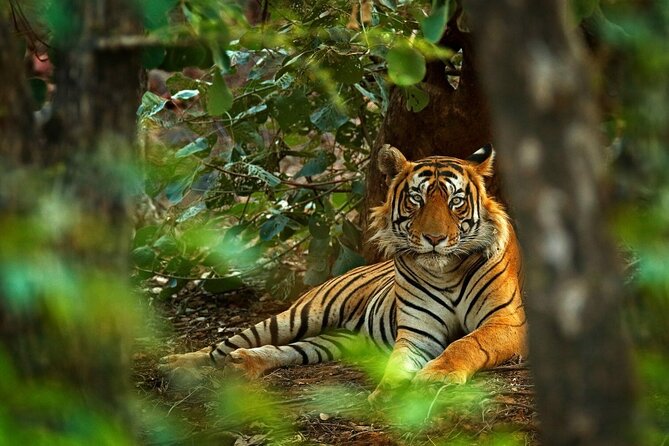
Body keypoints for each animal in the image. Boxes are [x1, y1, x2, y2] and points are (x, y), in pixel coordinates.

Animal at [160, 144, 527, 401]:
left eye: (456, 202)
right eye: (416, 200)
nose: (434, 239)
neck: (445, 272)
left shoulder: (507, 321)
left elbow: (467, 343)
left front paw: (437, 376)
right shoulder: (417, 332)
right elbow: (398, 363)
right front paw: (389, 393)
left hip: (336, 340)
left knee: (288, 350)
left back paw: (243, 364)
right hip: (300, 315)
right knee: (225, 345)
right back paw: (176, 364)